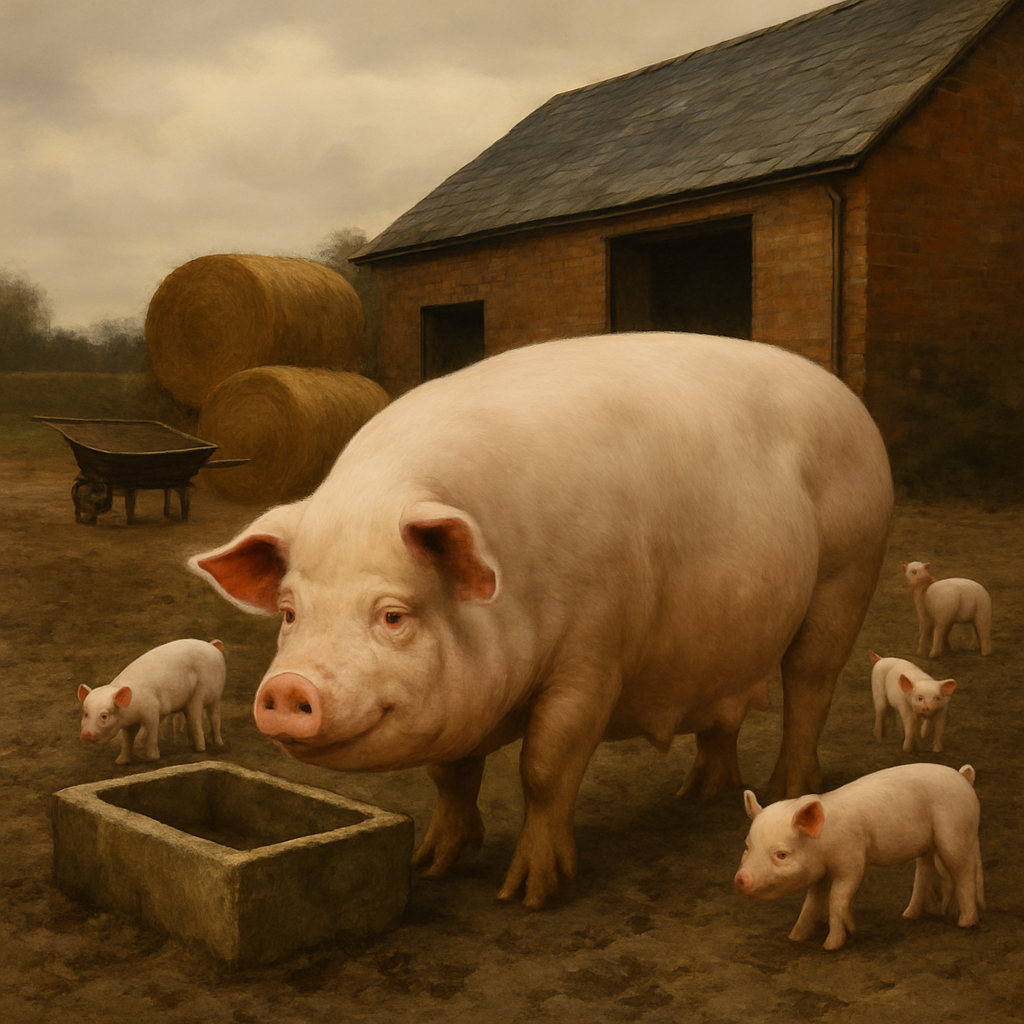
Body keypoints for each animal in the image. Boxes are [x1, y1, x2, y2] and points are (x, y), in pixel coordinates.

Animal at [78, 639, 226, 765]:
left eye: (104, 716)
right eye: (86, 714)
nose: (85, 733)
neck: (131, 712)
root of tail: (212, 646)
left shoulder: (152, 711)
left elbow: (152, 733)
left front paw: (152, 758)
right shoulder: (128, 724)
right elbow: (127, 740)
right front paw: (120, 761)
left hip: (207, 691)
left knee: (206, 717)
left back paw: (206, 747)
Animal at [188, 332, 892, 908]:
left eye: (392, 615)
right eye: (289, 613)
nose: (287, 688)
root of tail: (847, 397)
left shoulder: (593, 657)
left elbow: (545, 767)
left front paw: (527, 896)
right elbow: (450, 774)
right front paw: (430, 867)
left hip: (847, 572)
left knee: (809, 685)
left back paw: (786, 788)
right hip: (728, 635)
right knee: (725, 710)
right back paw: (694, 797)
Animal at [734, 763, 984, 950]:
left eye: (782, 854)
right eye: (747, 846)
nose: (741, 878)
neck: (821, 843)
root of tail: (963, 777)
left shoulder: (852, 859)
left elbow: (837, 898)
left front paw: (832, 945)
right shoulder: (819, 872)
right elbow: (812, 902)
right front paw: (795, 937)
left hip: (954, 830)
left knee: (963, 872)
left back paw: (966, 923)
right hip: (927, 845)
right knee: (924, 870)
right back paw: (910, 915)